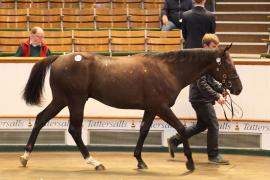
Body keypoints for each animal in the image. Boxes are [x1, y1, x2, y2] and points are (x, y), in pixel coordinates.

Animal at [19, 45, 243, 171]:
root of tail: (59, 58)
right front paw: (189, 162)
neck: (167, 70)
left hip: (61, 100)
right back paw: (94, 162)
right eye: (228, 65)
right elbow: (180, 128)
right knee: (74, 129)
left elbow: (143, 130)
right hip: (75, 101)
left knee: (40, 119)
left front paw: (140, 161)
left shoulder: (151, 108)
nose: (238, 88)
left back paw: (24, 157)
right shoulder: (161, 107)